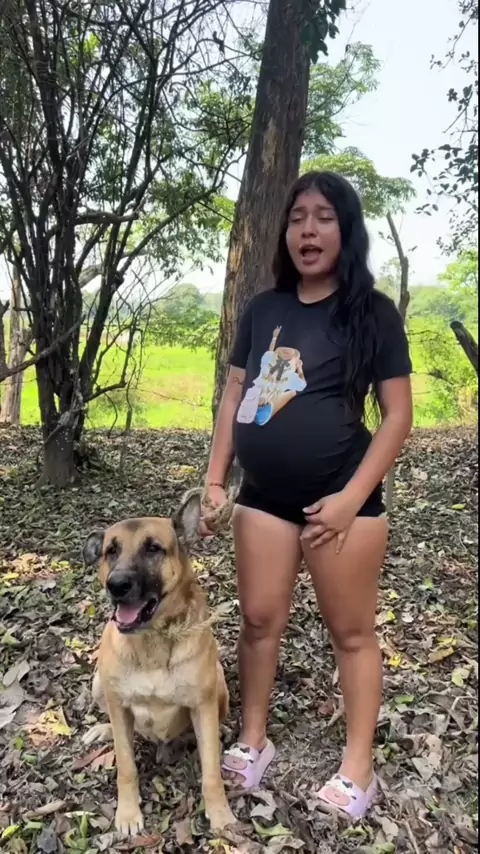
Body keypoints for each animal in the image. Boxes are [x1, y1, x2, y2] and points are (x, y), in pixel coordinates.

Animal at [82, 488, 236, 835]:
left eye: (153, 548)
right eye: (111, 551)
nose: (117, 585)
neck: (153, 639)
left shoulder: (202, 705)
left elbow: (212, 771)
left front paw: (220, 812)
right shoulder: (118, 704)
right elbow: (126, 766)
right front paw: (128, 813)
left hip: (219, 686)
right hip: (98, 684)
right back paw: (103, 730)